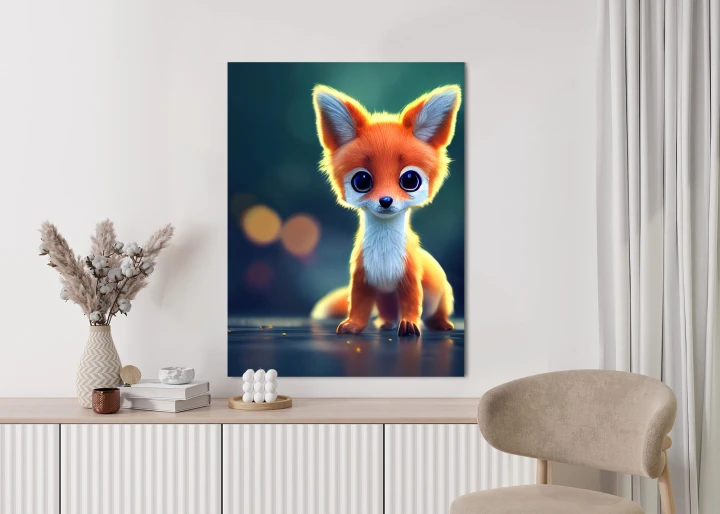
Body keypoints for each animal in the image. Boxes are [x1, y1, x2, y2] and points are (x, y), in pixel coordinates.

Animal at [310, 84, 462, 337]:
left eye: (410, 180)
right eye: (362, 181)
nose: (386, 200)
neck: (384, 253)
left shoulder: (410, 280)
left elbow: (412, 305)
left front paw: (409, 325)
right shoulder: (363, 280)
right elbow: (358, 307)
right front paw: (353, 325)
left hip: (442, 296)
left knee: (436, 313)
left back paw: (440, 324)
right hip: (385, 298)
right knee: (388, 313)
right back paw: (386, 323)